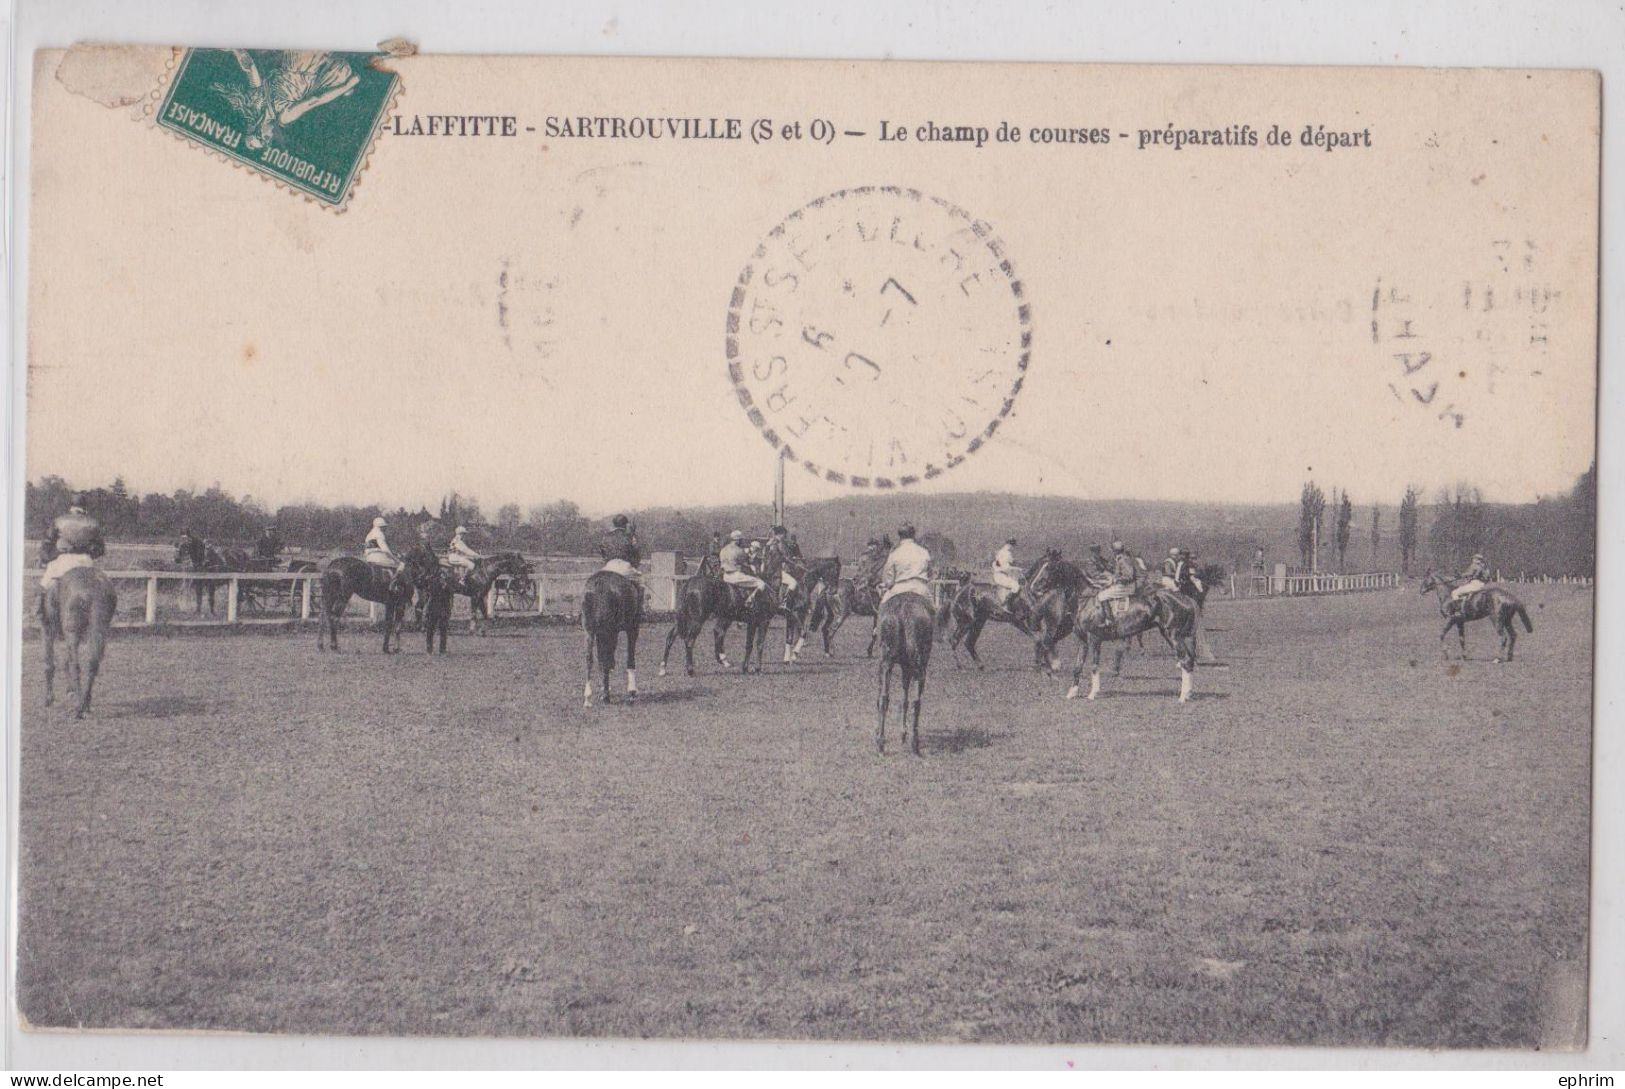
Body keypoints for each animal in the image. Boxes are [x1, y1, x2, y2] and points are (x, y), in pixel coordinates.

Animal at [38, 568, 117, 721]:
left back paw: (78, 708)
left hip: (72, 631)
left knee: (75, 665)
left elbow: (49, 664)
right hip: (99, 629)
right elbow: (64, 662)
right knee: (92, 663)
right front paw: (71, 691)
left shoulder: (48, 629)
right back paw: (85, 703)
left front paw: (49, 699)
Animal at [578, 572, 640, 708]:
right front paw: (631, 692)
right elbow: (629, 659)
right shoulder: (631, 628)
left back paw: (588, 697)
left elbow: (603, 660)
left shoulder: (600, 633)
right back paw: (606, 695)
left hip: (590, 630)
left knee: (589, 659)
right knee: (606, 660)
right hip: (610, 631)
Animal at [871, 591, 936, 754]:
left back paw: (881, 742)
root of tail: (903, 610)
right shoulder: (906, 666)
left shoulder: (887, 664)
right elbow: (905, 699)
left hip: (887, 660)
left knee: (884, 698)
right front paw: (903, 733)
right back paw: (914, 743)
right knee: (916, 701)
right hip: (918, 664)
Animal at [1066, 585, 1196, 705]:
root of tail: (1186, 599)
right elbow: (1077, 667)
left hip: (1172, 635)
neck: (1086, 602)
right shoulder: (1083, 641)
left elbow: (1094, 666)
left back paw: (1183, 697)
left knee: (1185, 661)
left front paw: (1093, 693)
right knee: (1188, 661)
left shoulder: (1094, 639)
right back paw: (1188, 694)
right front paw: (1072, 693)